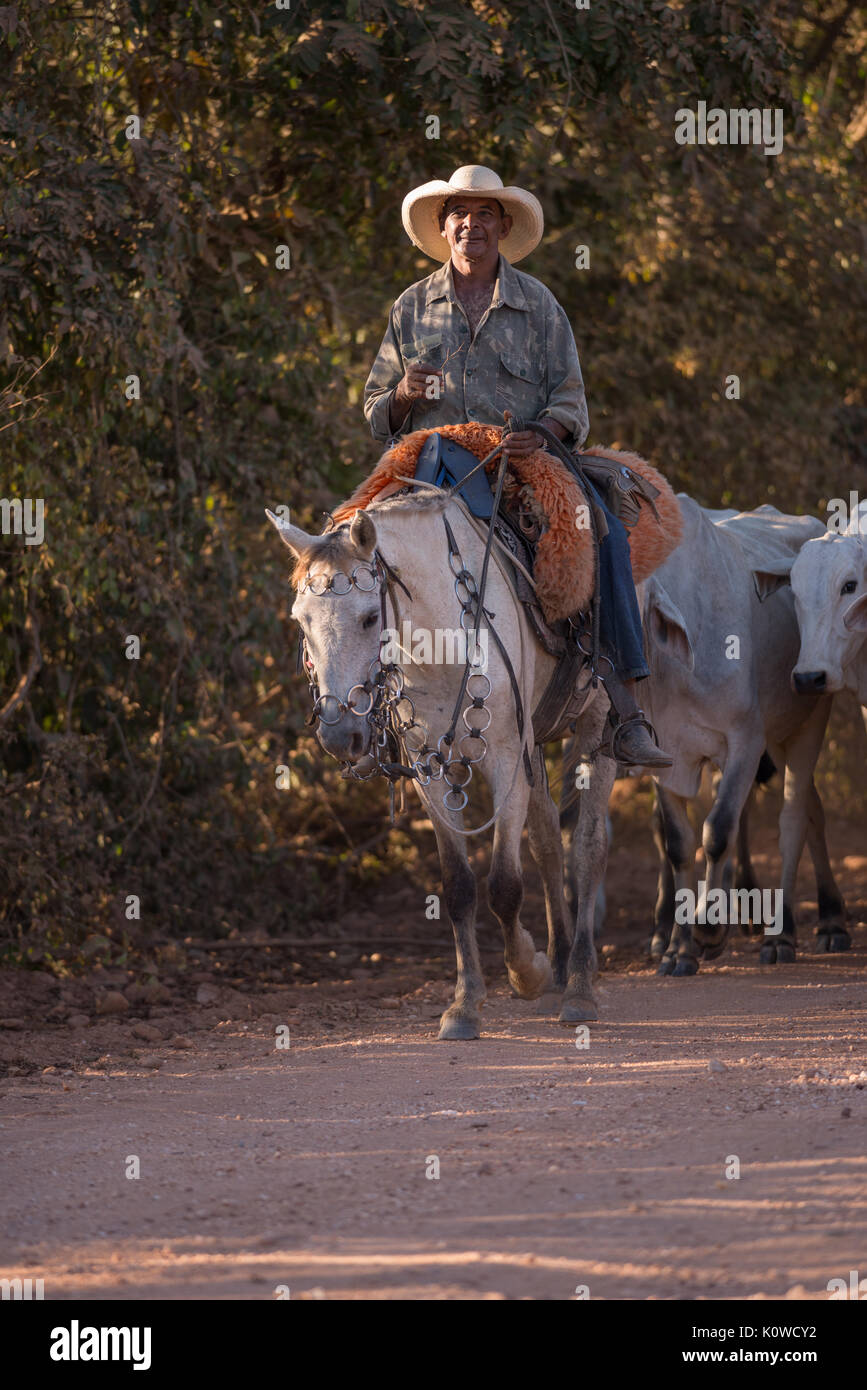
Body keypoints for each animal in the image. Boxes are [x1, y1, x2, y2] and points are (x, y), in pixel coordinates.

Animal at [268, 494, 614, 1039]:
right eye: (301, 619)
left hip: (596, 725)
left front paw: (527, 971)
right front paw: (464, 1004)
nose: (339, 734)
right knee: (546, 840)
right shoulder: (430, 772)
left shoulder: (507, 761)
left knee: (587, 847)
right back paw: (561, 961)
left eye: (370, 616)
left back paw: (578, 984)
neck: (439, 641)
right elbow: (458, 886)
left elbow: (504, 886)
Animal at [636, 494, 844, 973]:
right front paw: (677, 948)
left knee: (796, 816)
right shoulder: (663, 757)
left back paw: (801, 928)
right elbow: (678, 844)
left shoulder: (746, 741)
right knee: (810, 809)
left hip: (805, 720)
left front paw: (710, 929)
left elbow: (717, 832)